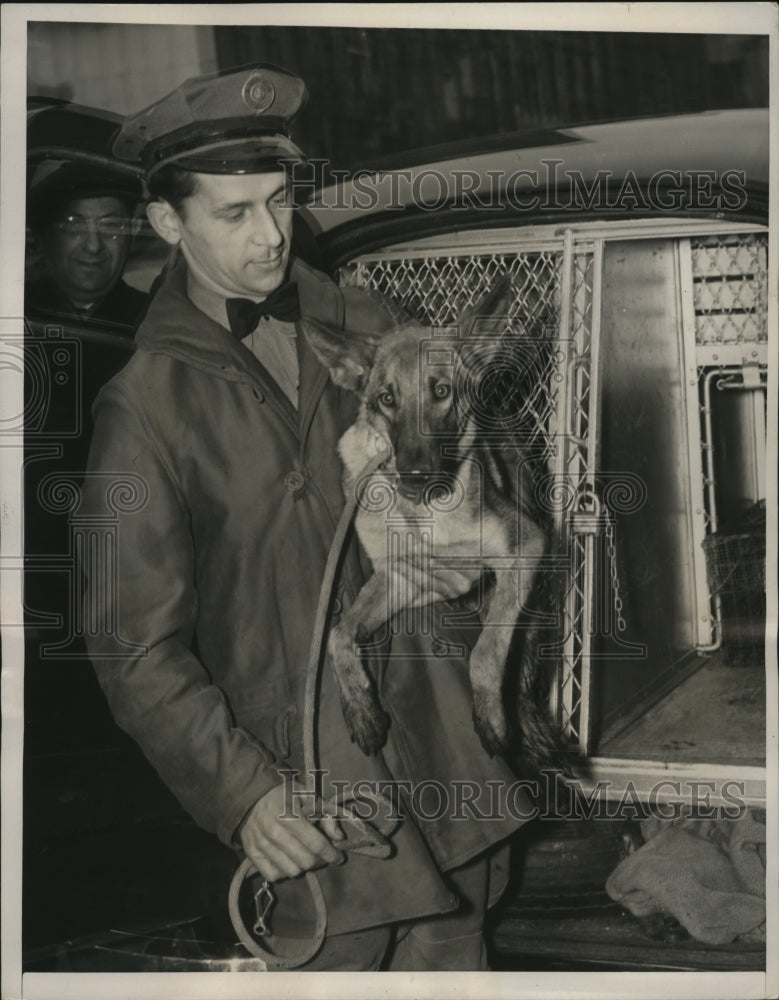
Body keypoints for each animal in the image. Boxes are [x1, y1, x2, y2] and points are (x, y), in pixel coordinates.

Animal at [302, 282, 564, 764]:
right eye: (387, 399)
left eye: (441, 390)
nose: (416, 476)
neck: (420, 514)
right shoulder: (400, 578)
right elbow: (337, 634)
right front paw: (360, 708)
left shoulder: (526, 547)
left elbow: (487, 652)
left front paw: (490, 717)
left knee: (517, 666)